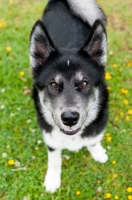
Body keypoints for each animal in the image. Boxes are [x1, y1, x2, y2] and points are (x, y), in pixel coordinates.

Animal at [29, 0, 108, 194]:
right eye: (53, 84)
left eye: (85, 83)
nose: (70, 118)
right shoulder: (50, 138)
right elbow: (54, 160)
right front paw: (52, 179)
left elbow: (93, 141)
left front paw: (97, 153)